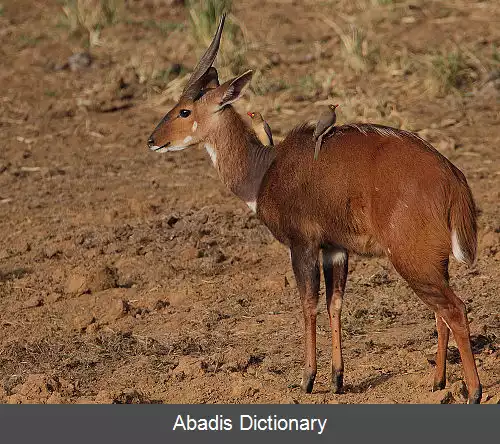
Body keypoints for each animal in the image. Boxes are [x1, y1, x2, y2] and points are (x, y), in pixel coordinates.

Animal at [146, 14, 482, 402]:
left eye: (184, 111)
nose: (152, 140)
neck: (264, 171)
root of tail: (453, 179)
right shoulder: (334, 249)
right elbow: (335, 303)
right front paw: (337, 379)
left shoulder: (302, 243)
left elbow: (307, 303)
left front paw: (307, 379)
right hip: (433, 262)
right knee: (441, 313)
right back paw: (437, 382)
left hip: (413, 259)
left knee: (455, 310)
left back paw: (474, 391)